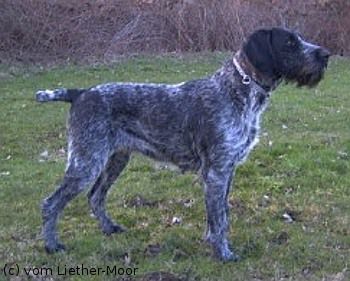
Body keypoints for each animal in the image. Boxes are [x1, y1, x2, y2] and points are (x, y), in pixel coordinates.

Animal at [37, 27, 330, 260]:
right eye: (289, 42)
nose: (326, 54)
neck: (237, 90)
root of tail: (80, 93)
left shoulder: (226, 171)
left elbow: (220, 214)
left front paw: (213, 243)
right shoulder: (217, 172)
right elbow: (220, 219)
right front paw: (224, 254)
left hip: (115, 159)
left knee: (95, 196)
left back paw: (109, 229)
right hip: (86, 162)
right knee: (51, 203)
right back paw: (52, 246)